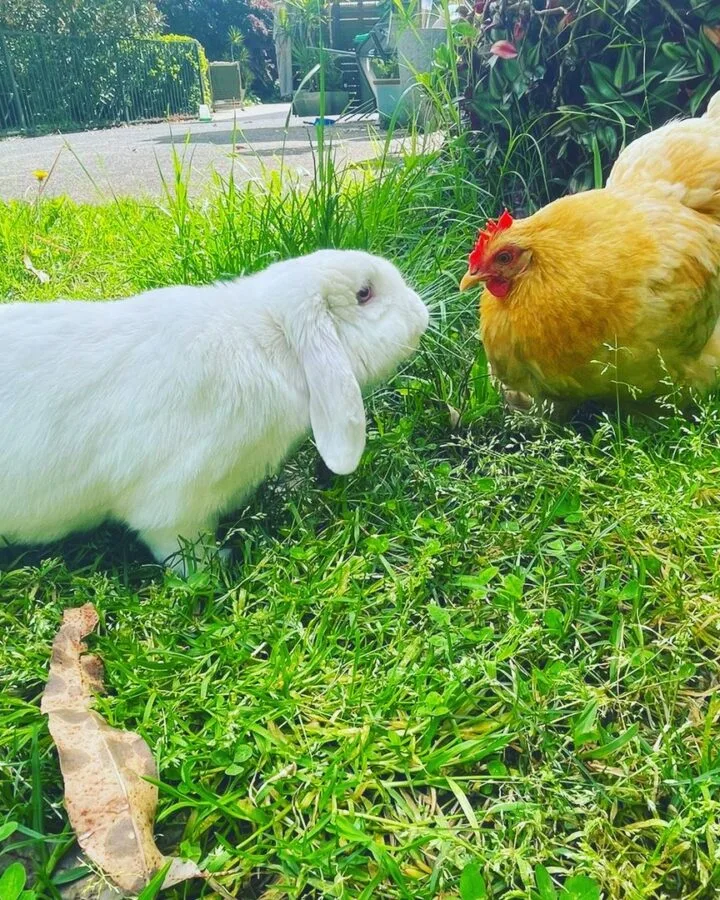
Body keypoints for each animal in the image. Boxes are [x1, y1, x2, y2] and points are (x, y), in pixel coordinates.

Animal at [0, 249, 429, 573]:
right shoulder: (174, 503)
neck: (271, 343)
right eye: (364, 294)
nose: (421, 310)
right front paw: (217, 566)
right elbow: (181, 549)